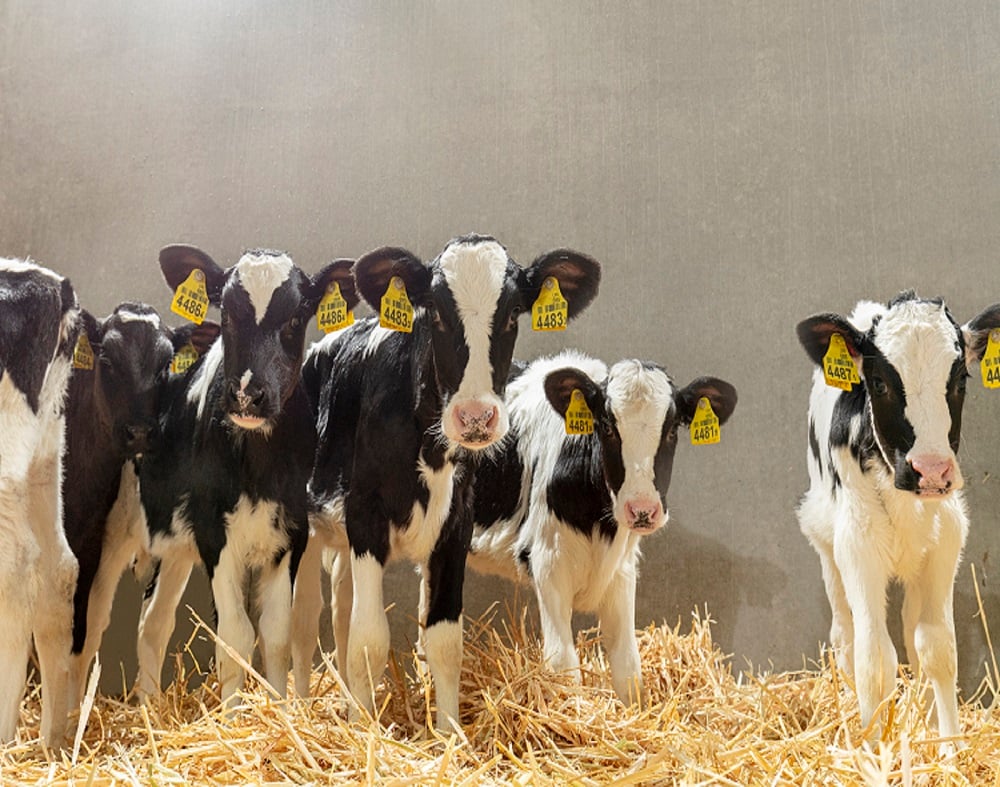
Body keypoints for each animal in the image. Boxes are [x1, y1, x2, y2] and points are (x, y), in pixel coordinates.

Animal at [63, 303, 219, 708]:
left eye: (166, 364)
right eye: (106, 358)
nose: (139, 433)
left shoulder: (178, 548)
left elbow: (155, 626)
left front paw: (149, 705)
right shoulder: (105, 542)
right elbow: (88, 628)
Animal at [133, 245, 356, 707]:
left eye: (296, 318)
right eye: (229, 314)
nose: (248, 395)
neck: (258, 468)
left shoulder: (291, 533)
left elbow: (275, 633)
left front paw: (280, 711)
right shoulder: (213, 533)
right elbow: (235, 636)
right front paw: (234, 716)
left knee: (157, 621)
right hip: (164, 530)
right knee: (150, 623)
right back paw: (148, 709)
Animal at [292, 234, 601, 730]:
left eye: (514, 312)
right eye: (434, 310)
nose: (474, 416)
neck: (430, 450)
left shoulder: (456, 521)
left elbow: (443, 641)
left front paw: (448, 732)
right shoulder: (365, 515)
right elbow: (370, 639)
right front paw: (367, 733)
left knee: (341, 608)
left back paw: (347, 704)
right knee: (303, 620)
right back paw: (300, 706)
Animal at [466, 350, 737, 702]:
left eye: (672, 430)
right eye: (607, 426)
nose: (642, 509)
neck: (601, 526)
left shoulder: (621, 570)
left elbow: (628, 667)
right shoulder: (548, 563)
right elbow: (564, 667)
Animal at [796, 291, 1000, 741]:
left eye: (960, 381)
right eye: (880, 383)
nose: (932, 470)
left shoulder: (945, 543)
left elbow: (938, 648)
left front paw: (948, 745)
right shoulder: (858, 547)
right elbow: (874, 658)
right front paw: (875, 748)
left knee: (910, 628)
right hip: (826, 543)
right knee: (845, 635)